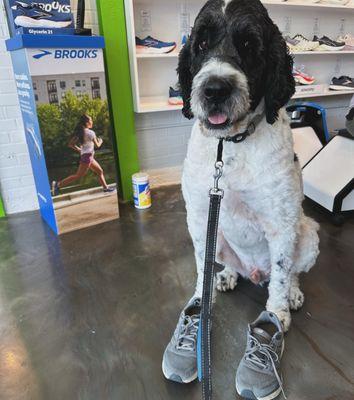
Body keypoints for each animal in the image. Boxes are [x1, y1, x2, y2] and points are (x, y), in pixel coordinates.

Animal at [178, 0, 320, 332]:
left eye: (249, 45)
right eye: (201, 43)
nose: (215, 90)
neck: (231, 145)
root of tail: (256, 272)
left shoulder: (281, 223)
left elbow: (282, 272)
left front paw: (277, 314)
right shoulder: (200, 216)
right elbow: (202, 266)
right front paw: (201, 303)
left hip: (307, 234)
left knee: (290, 272)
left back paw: (293, 293)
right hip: (218, 237)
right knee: (229, 264)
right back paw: (228, 274)